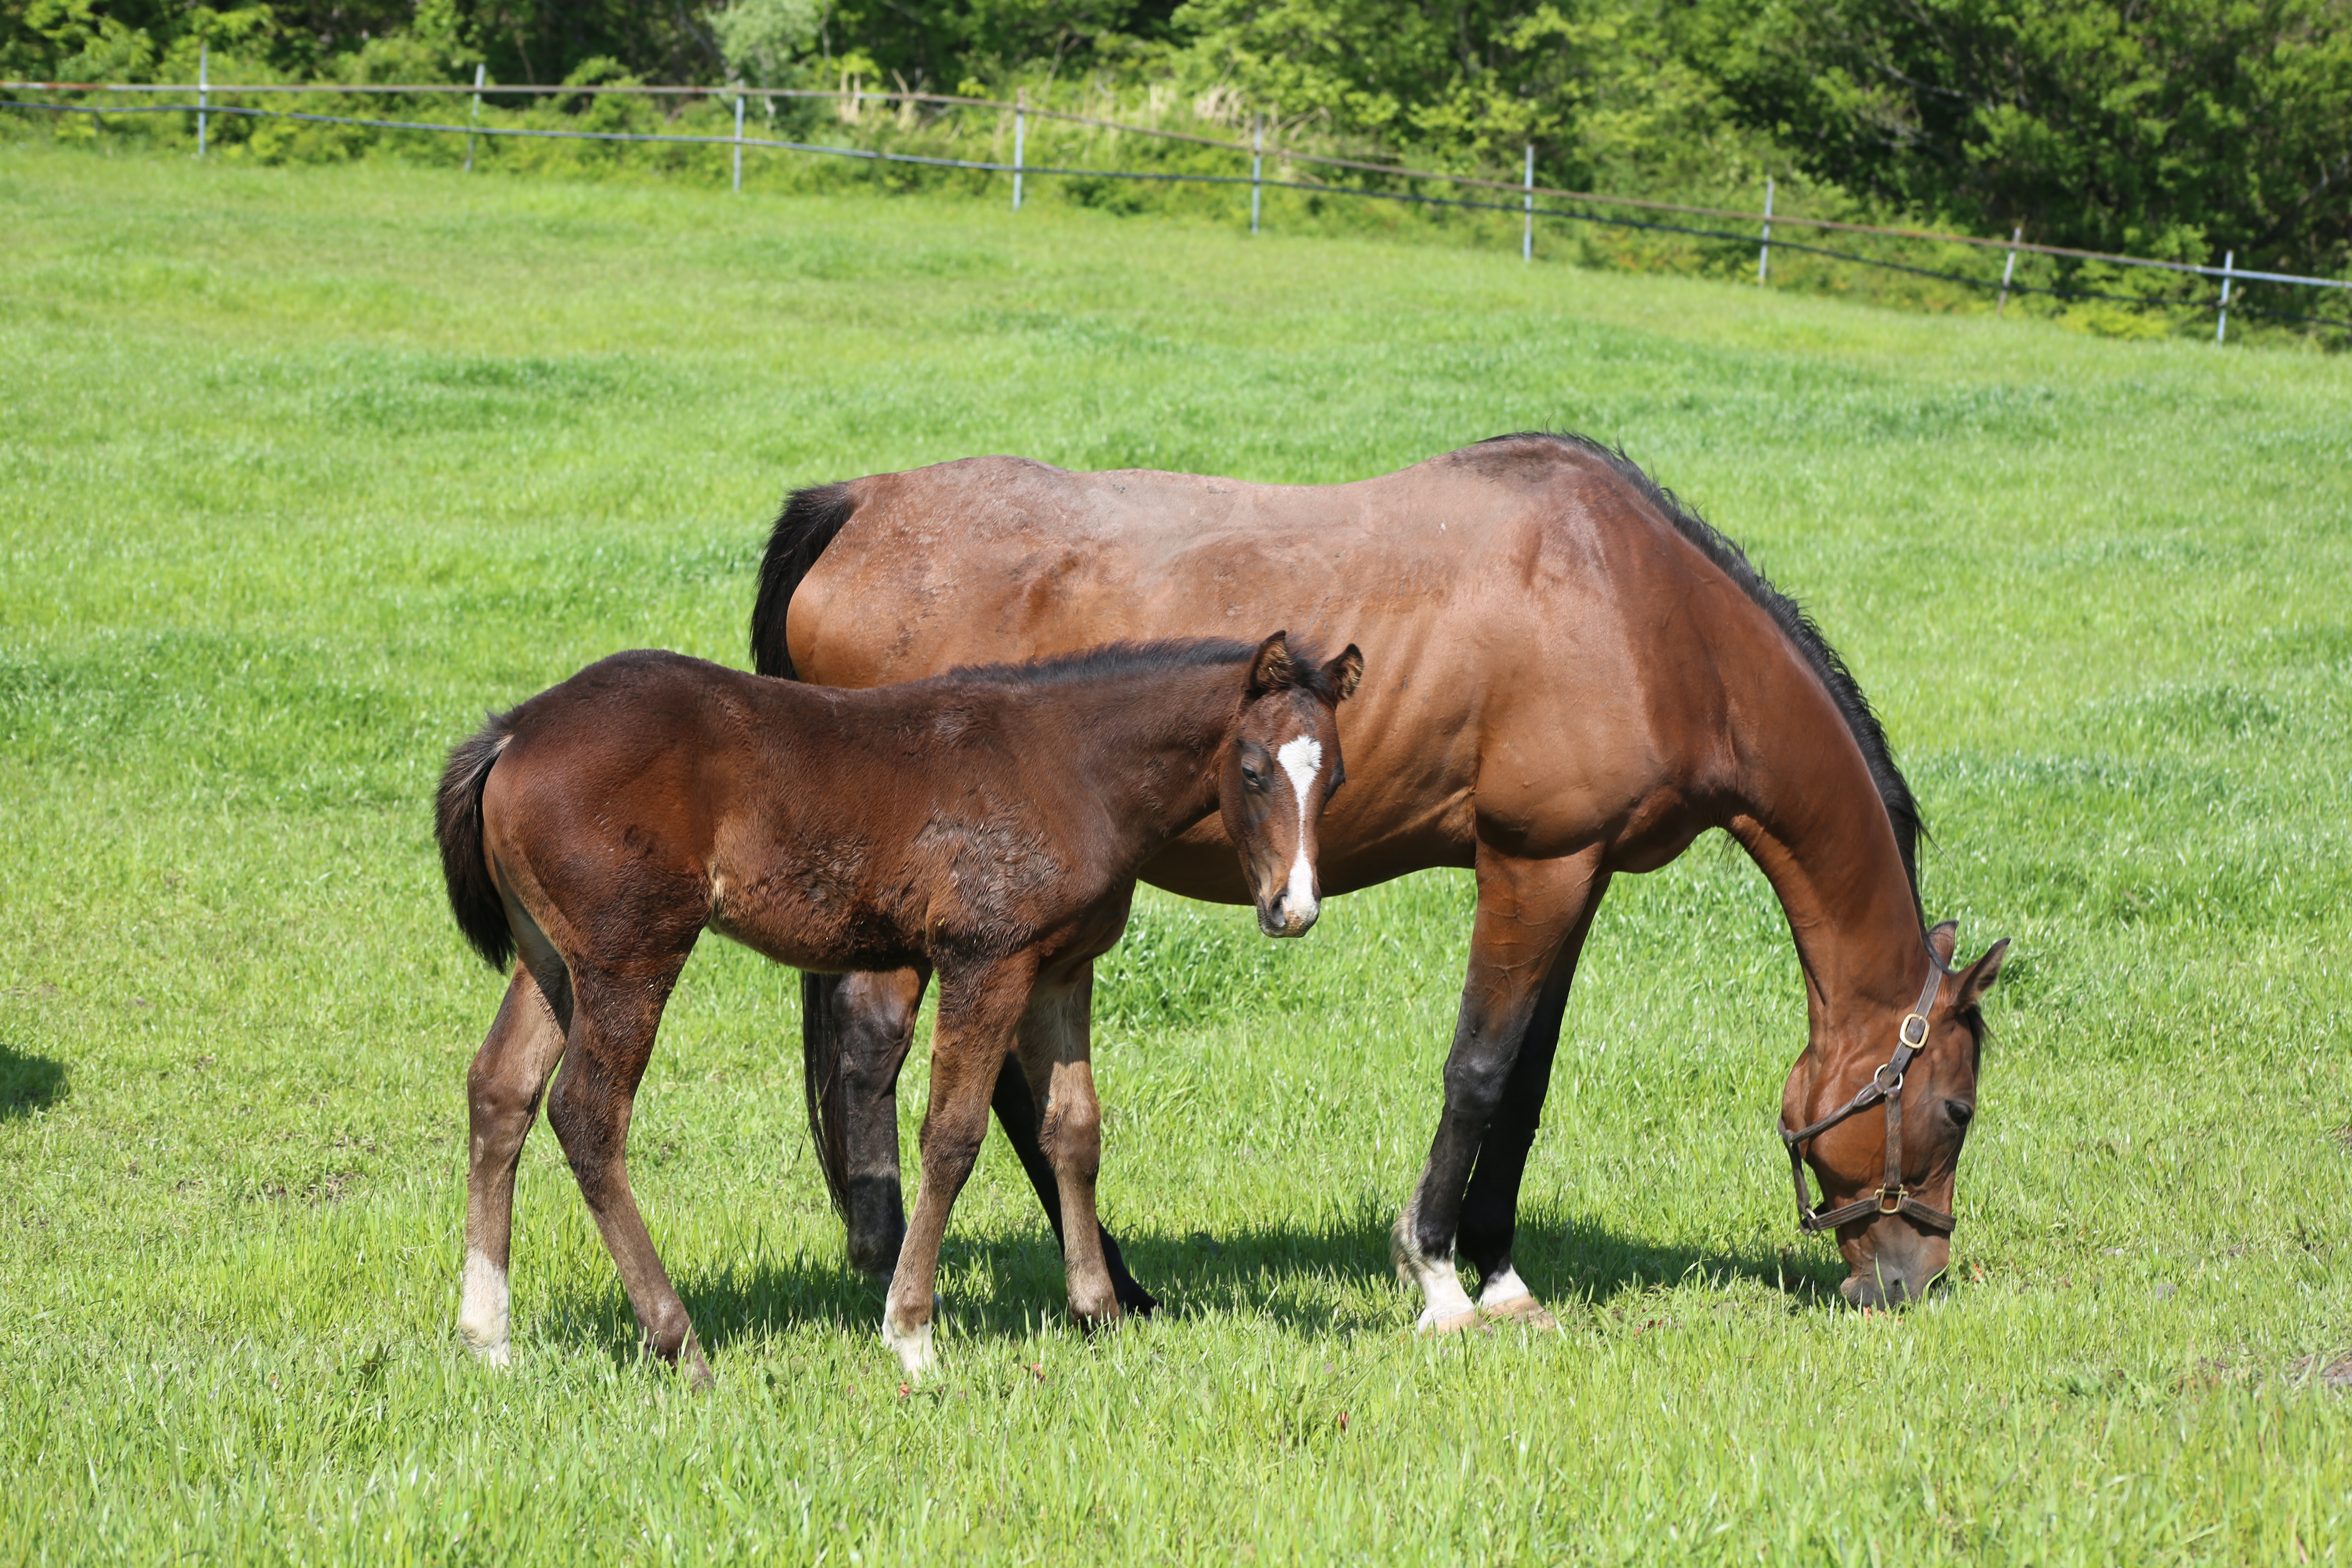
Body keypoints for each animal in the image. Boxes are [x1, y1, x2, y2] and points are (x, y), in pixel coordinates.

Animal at [437, 630, 1364, 1382]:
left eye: (1337, 779)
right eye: (1253, 770)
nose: (1294, 909)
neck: (1072, 767)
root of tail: (514, 732)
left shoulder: (1063, 970)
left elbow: (1074, 1130)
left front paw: (1097, 1312)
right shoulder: (987, 961)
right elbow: (952, 1138)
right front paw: (911, 1334)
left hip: (552, 959)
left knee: (502, 1091)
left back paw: (488, 1338)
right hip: (631, 955)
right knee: (588, 1115)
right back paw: (679, 1343)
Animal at [762, 432, 2013, 1326]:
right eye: (1954, 1108)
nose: (1907, 1282)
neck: (1643, 612)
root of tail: (862, 504)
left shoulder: (1577, 876)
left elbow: (1526, 1084)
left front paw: (1501, 1272)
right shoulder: (1531, 866)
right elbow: (1478, 1071)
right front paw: (1438, 1274)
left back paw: (1109, 1285)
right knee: (888, 1052)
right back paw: (915, 1269)